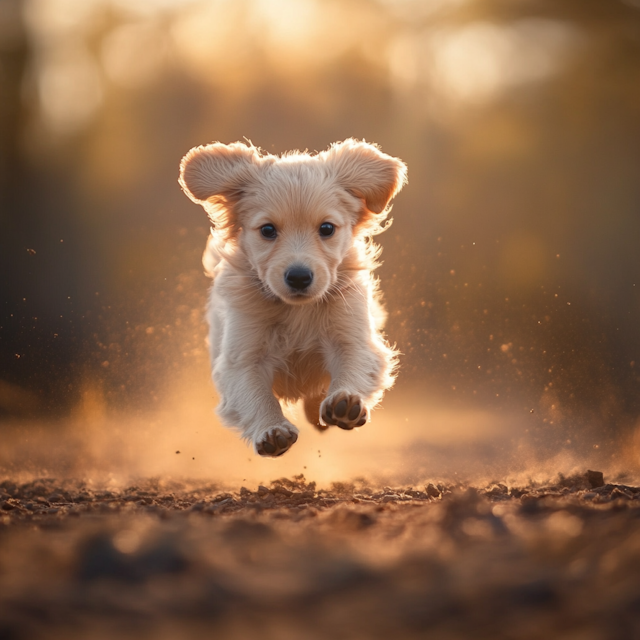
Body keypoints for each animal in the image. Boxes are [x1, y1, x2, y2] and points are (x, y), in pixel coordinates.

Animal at [178, 138, 408, 458]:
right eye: (267, 230)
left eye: (327, 228)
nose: (299, 277)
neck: (296, 310)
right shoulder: (242, 357)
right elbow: (255, 396)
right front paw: (271, 430)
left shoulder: (352, 336)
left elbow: (353, 365)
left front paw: (346, 401)